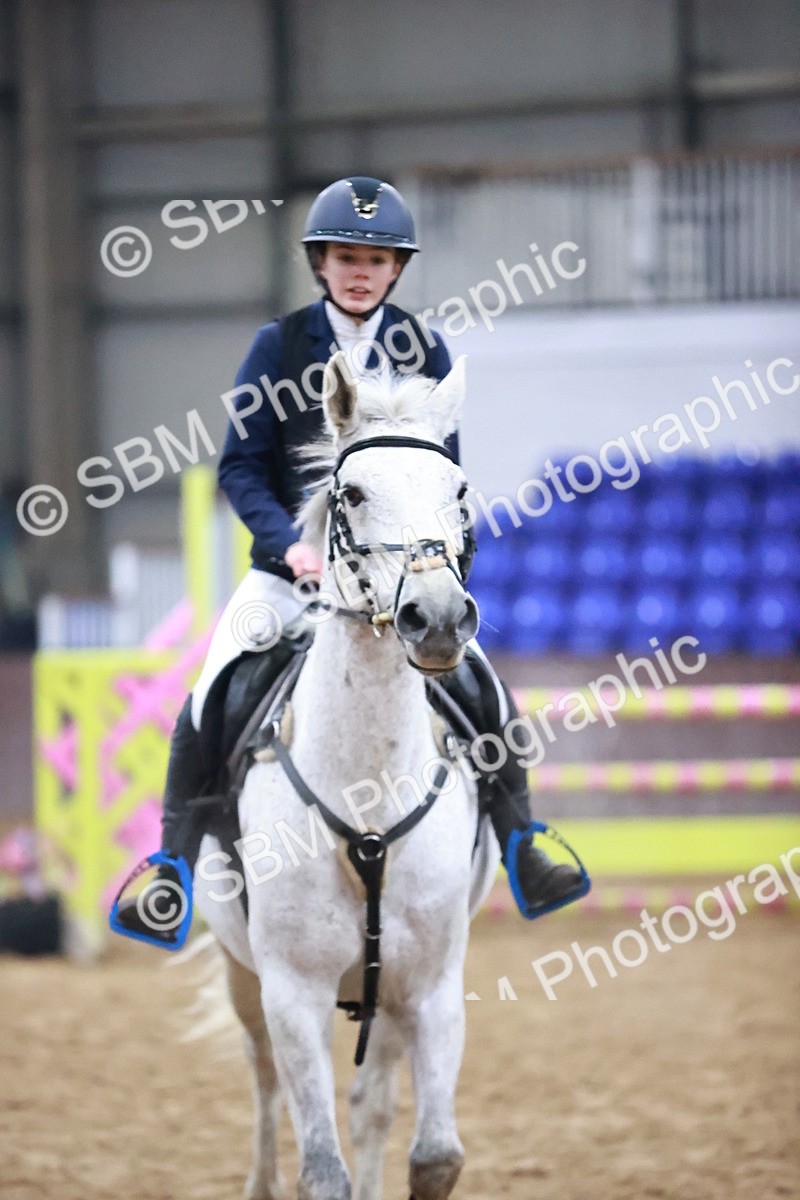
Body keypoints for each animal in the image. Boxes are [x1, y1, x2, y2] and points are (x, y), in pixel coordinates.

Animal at [193, 351, 501, 1200]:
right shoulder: (291, 991)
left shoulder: (430, 987)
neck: (367, 794)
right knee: (264, 1080)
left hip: (384, 997)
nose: (437, 619)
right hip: (244, 975)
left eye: (457, 491)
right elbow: (319, 1168)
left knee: (371, 1103)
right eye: (352, 493)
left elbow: (434, 1156)